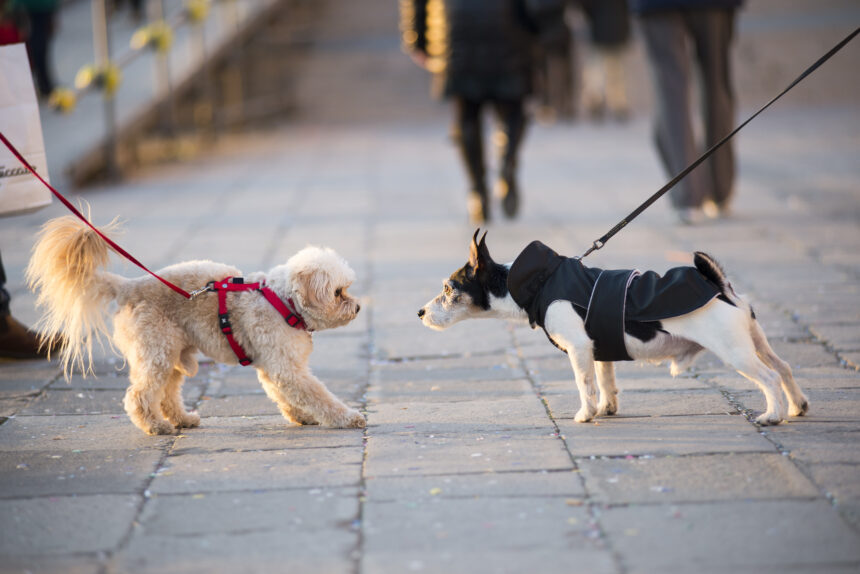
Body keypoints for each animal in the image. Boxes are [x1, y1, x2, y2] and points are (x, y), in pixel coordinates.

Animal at [28, 216, 364, 436]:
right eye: (338, 292)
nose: (359, 307)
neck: (283, 301)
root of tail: (127, 287)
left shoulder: (274, 367)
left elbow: (284, 395)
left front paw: (301, 416)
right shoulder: (286, 367)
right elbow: (318, 395)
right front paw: (347, 418)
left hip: (173, 355)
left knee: (166, 394)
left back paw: (182, 420)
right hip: (156, 352)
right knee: (140, 395)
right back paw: (156, 426)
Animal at [420, 231, 808, 428]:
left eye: (449, 289)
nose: (420, 312)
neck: (536, 283)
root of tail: (719, 286)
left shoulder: (578, 349)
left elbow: (584, 385)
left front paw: (585, 414)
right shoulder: (598, 349)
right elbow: (605, 382)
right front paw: (606, 408)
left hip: (736, 354)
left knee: (769, 378)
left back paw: (772, 415)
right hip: (756, 343)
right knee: (784, 368)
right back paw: (796, 406)